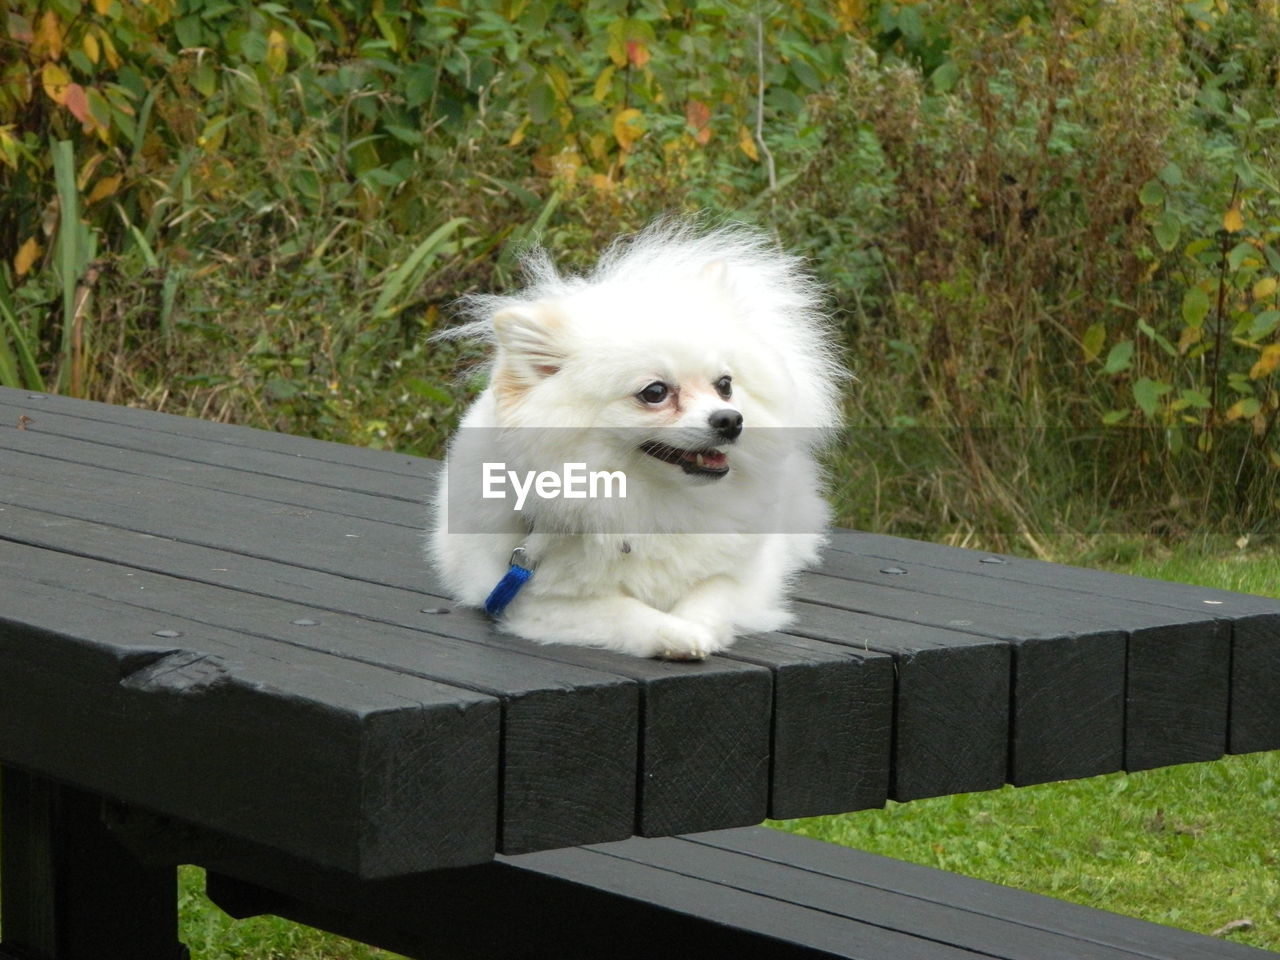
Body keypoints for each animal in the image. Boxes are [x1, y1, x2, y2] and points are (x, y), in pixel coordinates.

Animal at [430, 221, 844, 660]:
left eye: (725, 385)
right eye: (655, 392)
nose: (731, 420)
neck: (648, 501)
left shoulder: (748, 577)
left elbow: (712, 592)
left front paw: (698, 627)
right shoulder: (529, 598)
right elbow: (623, 611)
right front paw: (677, 634)